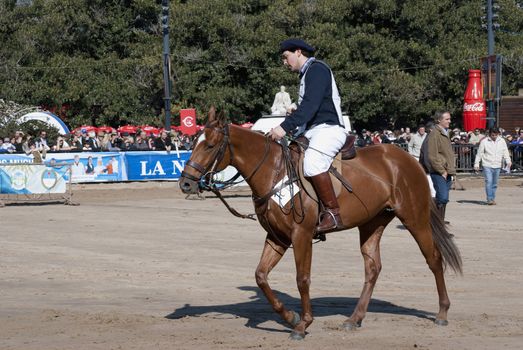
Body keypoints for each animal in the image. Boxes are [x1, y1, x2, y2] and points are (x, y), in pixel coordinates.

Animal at [180, 109, 462, 340]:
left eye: (210, 145)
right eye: (194, 143)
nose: (185, 183)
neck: (275, 170)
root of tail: (407, 158)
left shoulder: (301, 235)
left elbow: (302, 278)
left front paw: (303, 324)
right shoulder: (277, 237)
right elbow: (261, 276)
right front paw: (290, 316)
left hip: (415, 219)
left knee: (434, 258)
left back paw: (443, 312)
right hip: (371, 223)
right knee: (373, 268)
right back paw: (354, 319)